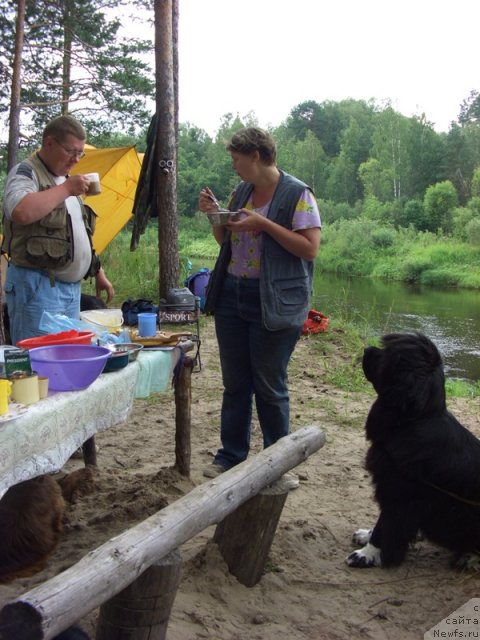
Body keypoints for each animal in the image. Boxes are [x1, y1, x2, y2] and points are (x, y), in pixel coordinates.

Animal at [346, 332, 480, 568]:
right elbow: (385, 522)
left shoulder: (402, 493)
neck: (415, 422)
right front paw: (367, 536)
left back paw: (470, 558)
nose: (367, 349)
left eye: (388, 358)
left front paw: (367, 554)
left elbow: (386, 526)